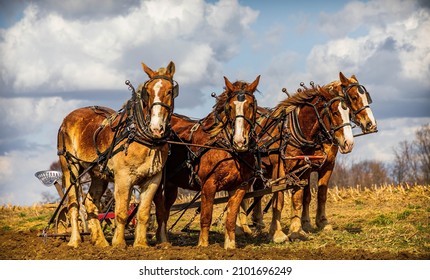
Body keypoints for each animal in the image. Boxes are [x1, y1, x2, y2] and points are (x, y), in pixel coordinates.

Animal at [57, 60, 178, 247]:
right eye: (148, 92)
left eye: (170, 91)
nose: (156, 128)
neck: (141, 135)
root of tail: (66, 120)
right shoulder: (123, 177)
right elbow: (121, 211)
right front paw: (119, 243)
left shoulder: (153, 179)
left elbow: (143, 212)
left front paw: (140, 244)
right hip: (70, 167)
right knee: (73, 204)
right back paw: (75, 240)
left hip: (98, 173)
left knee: (90, 202)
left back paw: (101, 242)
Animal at [156, 75, 260, 249]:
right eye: (230, 107)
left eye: (251, 105)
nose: (240, 141)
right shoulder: (208, 184)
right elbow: (206, 216)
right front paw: (203, 245)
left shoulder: (240, 186)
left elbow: (231, 218)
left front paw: (230, 246)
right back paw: (162, 240)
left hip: (171, 184)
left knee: (165, 209)